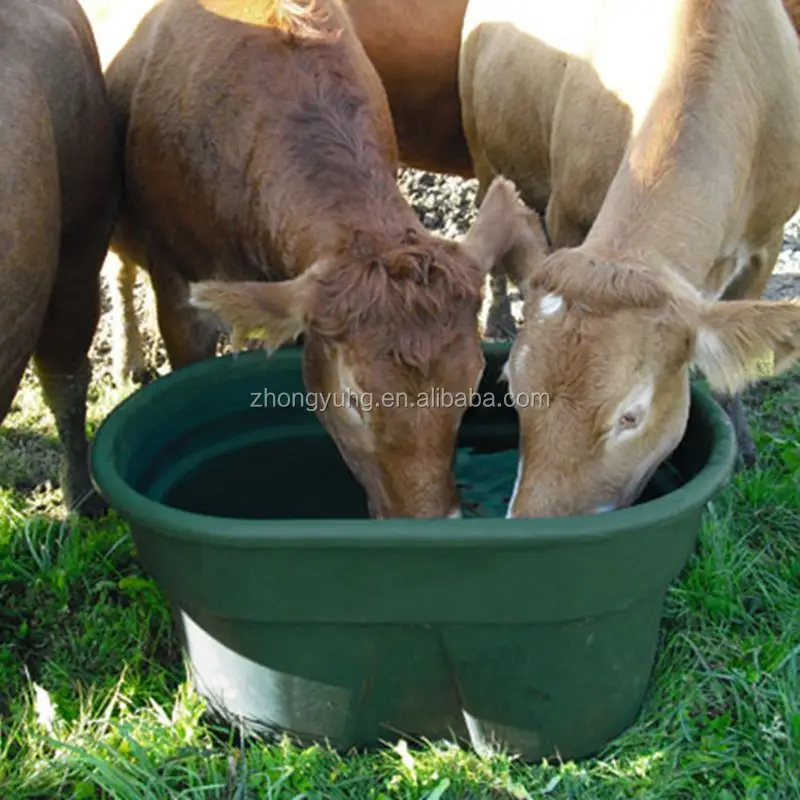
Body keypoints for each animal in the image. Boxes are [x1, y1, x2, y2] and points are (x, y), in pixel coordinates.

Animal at [103, 0, 531, 519]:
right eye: (355, 400)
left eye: (469, 388)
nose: (429, 521)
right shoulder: (179, 291)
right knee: (121, 272)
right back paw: (128, 358)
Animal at [458, 0, 800, 517]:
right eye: (514, 393)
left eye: (630, 417)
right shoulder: (567, 214)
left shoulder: (768, 240)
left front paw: (741, 445)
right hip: (481, 146)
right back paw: (497, 316)